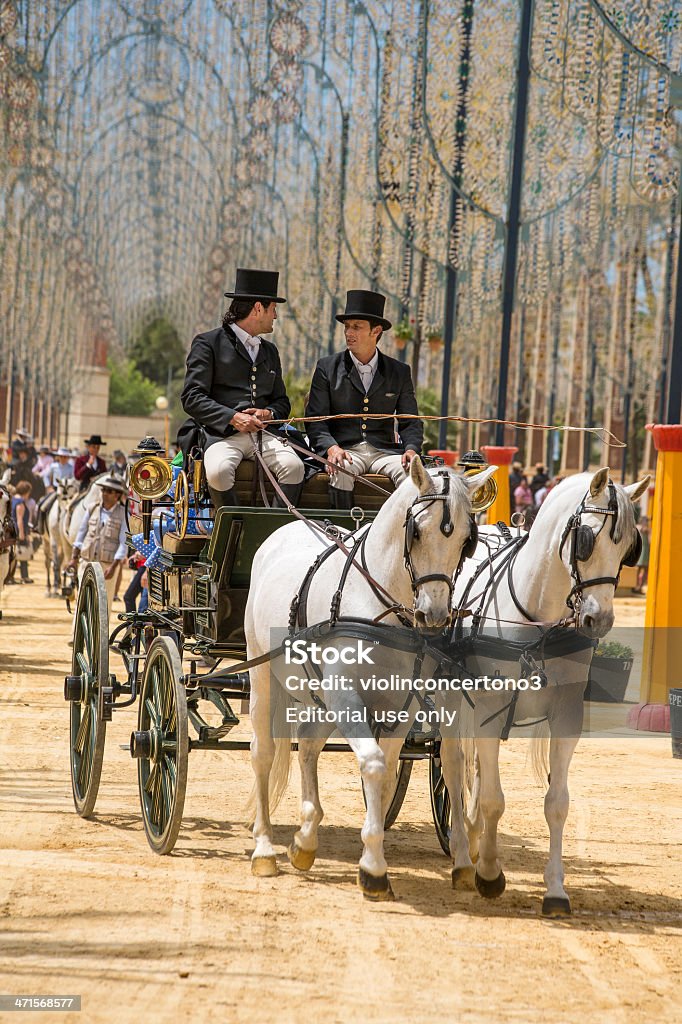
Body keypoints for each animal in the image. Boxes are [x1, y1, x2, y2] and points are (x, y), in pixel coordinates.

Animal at [242, 460, 493, 901]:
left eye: (468, 541)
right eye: (416, 531)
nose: (433, 616)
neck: (380, 604)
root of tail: (281, 532)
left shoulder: (400, 704)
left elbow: (387, 768)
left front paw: (369, 856)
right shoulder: (346, 697)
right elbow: (373, 764)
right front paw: (374, 869)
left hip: (318, 695)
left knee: (307, 746)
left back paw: (305, 840)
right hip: (263, 676)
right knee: (264, 753)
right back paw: (265, 850)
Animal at [438, 468, 647, 917]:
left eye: (628, 547)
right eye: (586, 539)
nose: (600, 620)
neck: (538, 619)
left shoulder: (566, 716)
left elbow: (556, 803)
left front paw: (555, 890)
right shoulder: (490, 709)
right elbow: (493, 798)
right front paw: (489, 874)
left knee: (473, 769)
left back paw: (476, 841)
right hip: (451, 700)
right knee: (453, 764)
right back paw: (464, 857)